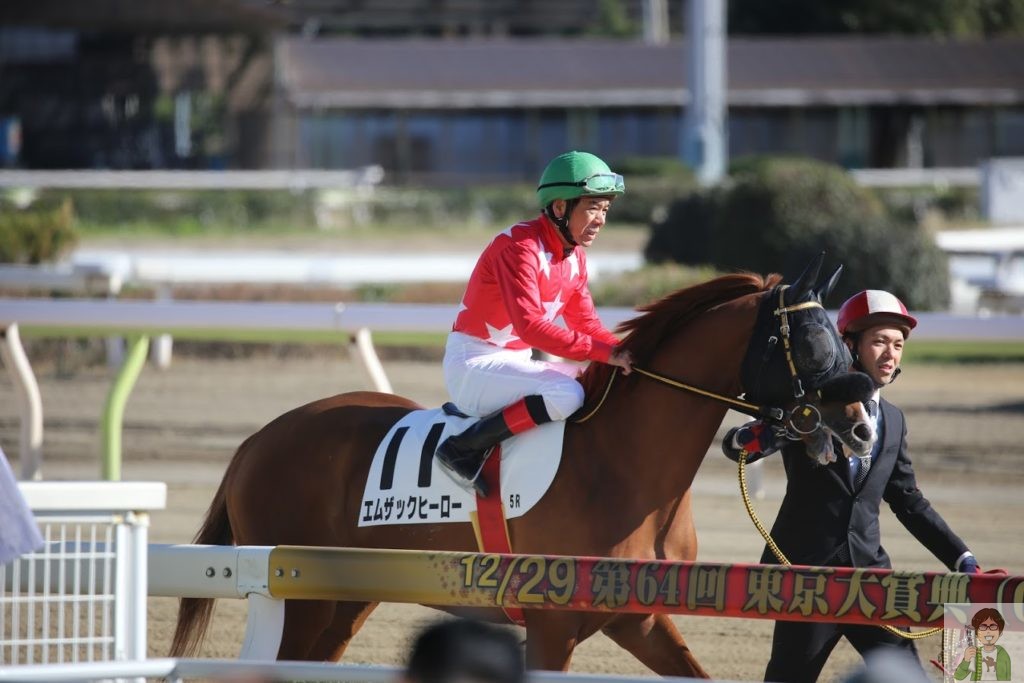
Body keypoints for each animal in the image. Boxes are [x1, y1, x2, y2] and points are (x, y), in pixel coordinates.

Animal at [171, 253, 876, 678]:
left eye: (844, 340)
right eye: (815, 343)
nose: (863, 422)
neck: (623, 464)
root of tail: (256, 442)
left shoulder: (641, 617)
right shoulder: (552, 625)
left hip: (342, 603)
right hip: (300, 598)